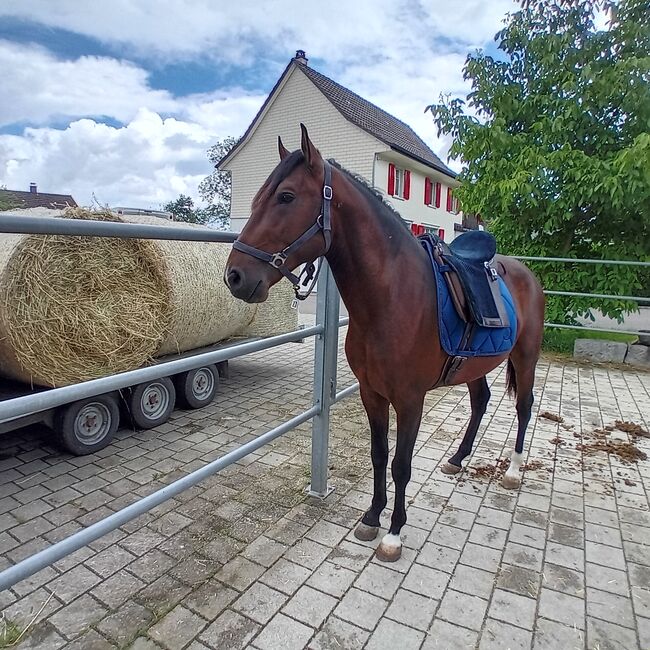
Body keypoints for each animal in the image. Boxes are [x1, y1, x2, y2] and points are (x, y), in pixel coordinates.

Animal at [223, 124, 540, 560]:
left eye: (286, 196)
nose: (235, 276)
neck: (391, 298)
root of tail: (527, 272)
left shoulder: (410, 399)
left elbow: (401, 465)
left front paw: (393, 534)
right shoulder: (371, 394)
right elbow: (378, 455)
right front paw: (372, 518)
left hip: (526, 357)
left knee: (524, 407)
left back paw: (512, 471)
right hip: (474, 364)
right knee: (481, 402)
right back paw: (457, 459)